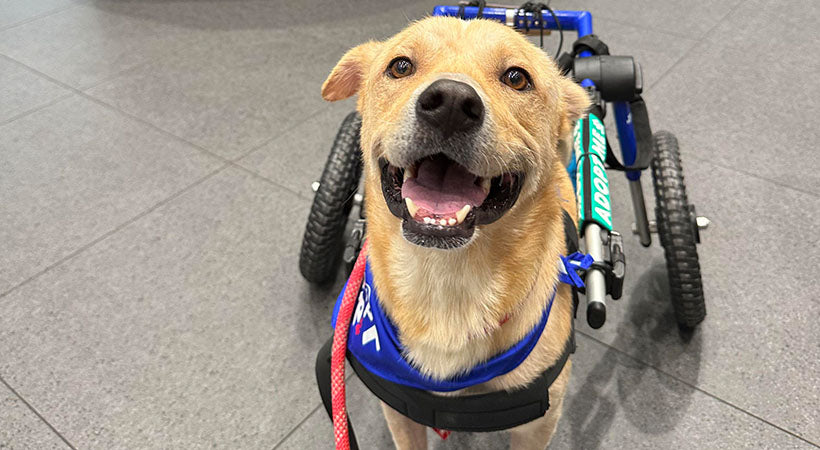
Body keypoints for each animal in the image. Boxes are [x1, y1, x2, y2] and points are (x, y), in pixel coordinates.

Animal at [320, 16, 588, 450]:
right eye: (400, 66)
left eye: (517, 78)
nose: (450, 103)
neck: (446, 282)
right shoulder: (399, 412)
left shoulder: (537, 425)